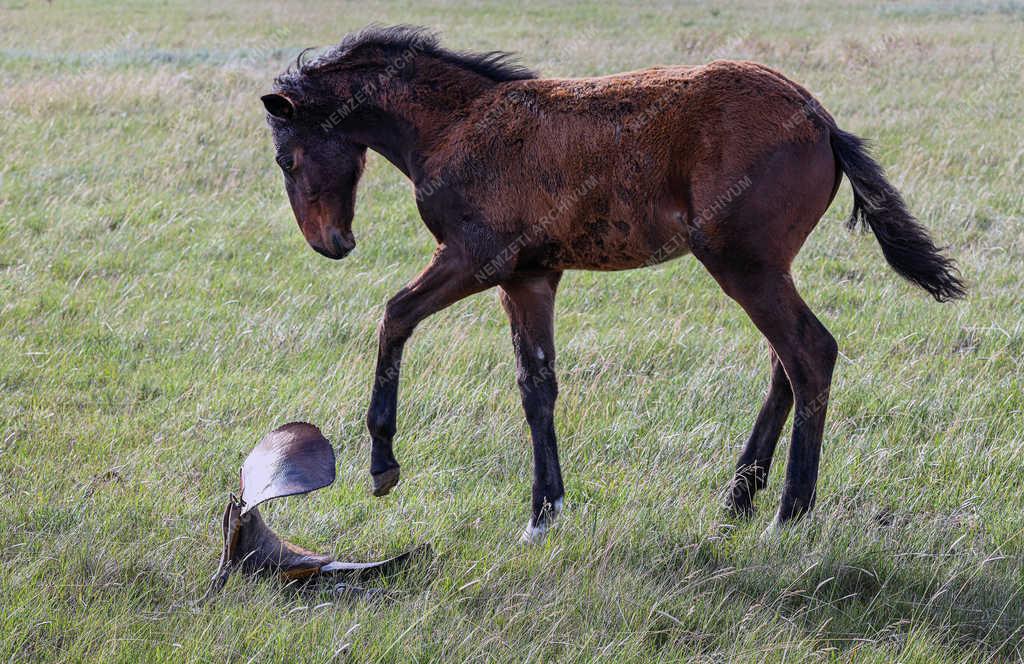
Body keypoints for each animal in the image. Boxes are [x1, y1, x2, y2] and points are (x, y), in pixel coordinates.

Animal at [260, 28, 962, 541]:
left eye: (285, 158)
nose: (330, 243)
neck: (457, 126)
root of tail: (820, 119)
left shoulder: (474, 259)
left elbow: (395, 315)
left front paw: (382, 463)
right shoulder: (530, 278)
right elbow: (537, 387)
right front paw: (543, 514)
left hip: (743, 263)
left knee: (809, 354)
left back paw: (789, 513)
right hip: (762, 267)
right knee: (784, 363)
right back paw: (738, 500)